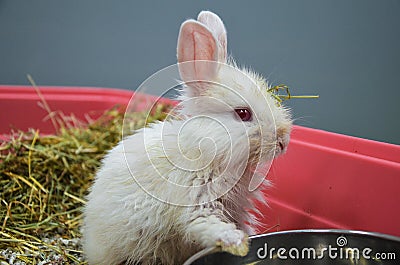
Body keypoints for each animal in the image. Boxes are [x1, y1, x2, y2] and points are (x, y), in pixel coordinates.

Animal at [83, 10, 292, 264]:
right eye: (243, 113)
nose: (283, 141)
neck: (207, 151)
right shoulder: (198, 203)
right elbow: (208, 225)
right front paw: (236, 241)